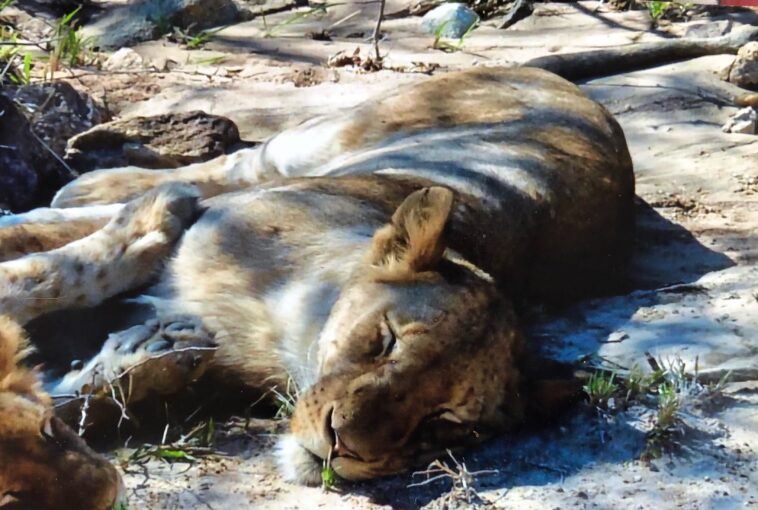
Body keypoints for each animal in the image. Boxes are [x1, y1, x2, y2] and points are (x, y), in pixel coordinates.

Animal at [0, 66, 634, 504]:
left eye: (447, 424)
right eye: (385, 339)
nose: (341, 444)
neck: (280, 329)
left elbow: (69, 401)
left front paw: (145, 357)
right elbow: (54, 266)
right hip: (309, 143)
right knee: (219, 167)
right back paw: (90, 186)